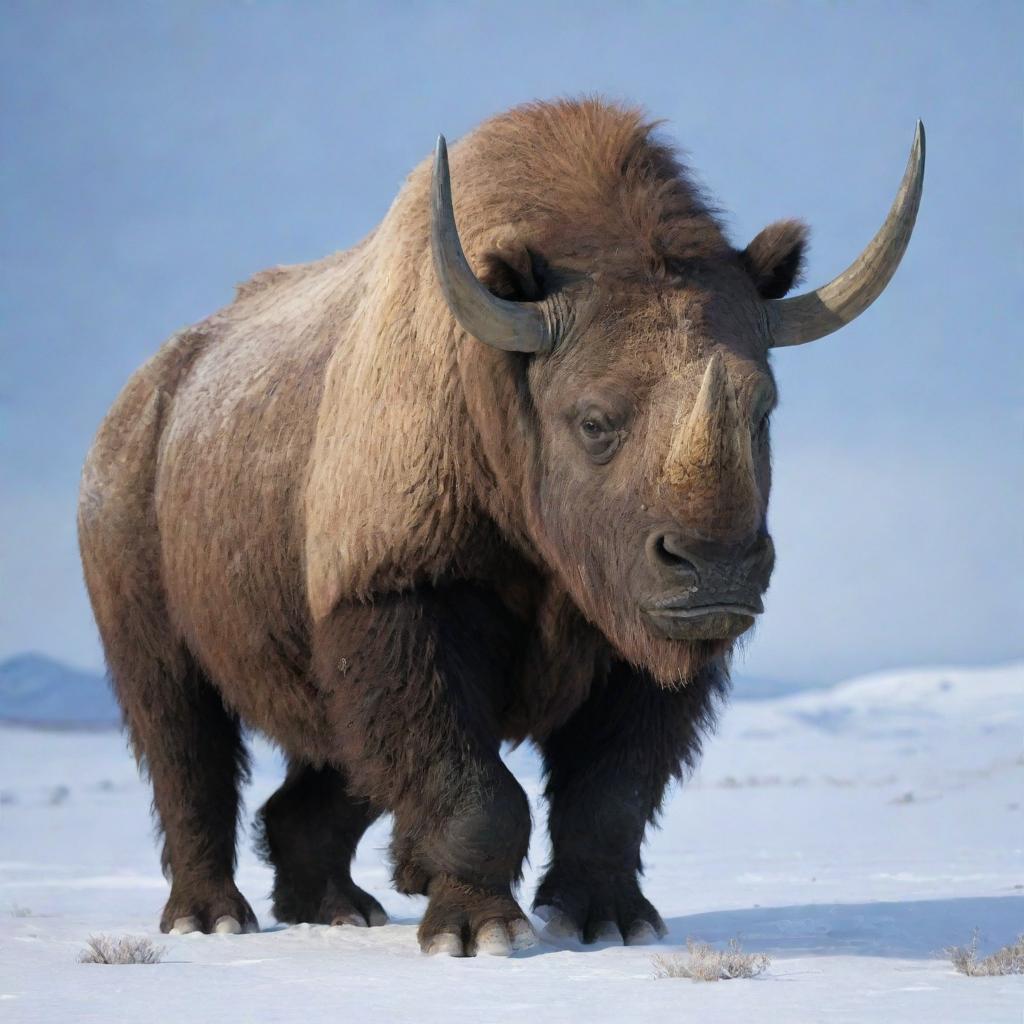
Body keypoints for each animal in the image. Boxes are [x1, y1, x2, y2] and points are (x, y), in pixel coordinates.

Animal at [79, 99, 925, 954]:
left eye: (764, 410)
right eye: (593, 421)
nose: (716, 567)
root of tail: (135, 409)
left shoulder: (642, 640)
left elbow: (613, 792)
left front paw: (611, 924)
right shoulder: (396, 597)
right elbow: (477, 792)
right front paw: (479, 934)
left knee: (329, 770)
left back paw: (339, 910)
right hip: (135, 568)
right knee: (181, 737)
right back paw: (212, 921)